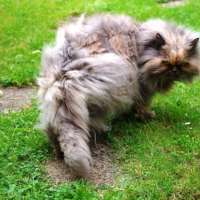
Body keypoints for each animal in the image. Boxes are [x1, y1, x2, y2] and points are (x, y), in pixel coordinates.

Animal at [36, 14, 199, 180]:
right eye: (165, 62)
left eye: (183, 64)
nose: (175, 71)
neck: (142, 44)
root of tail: (65, 69)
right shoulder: (142, 88)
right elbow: (142, 105)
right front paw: (145, 116)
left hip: (57, 102)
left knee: (54, 128)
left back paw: (59, 152)